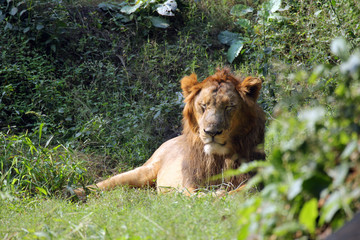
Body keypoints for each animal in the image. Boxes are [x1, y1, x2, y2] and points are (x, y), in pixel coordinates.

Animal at [74, 67, 264, 197]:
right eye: (203, 106)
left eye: (229, 107)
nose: (211, 132)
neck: (218, 157)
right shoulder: (189, 181)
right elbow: (193, 194)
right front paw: (212, 194)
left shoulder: (255, 177)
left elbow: (245, 190)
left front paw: (220, 194)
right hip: (145, 171)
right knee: (103, 183)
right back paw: (73, 192)